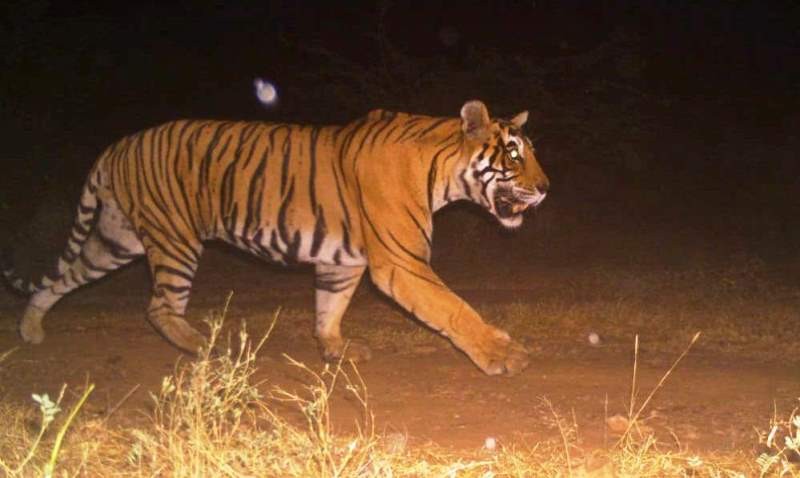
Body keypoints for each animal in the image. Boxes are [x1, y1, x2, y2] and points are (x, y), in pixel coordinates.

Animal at [2, 100, 549, 376]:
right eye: (514, 154)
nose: (545, 188)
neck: (441, 172)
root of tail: (118, 145)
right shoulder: (402, 263)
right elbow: (455, 309)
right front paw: (503, 356)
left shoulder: (342, 262)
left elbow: (329, 308)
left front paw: (334, 350)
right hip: (175, 240)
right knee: (158, 308)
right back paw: (207, 348)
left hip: (119, 240)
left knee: (61, 278)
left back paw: (31, 328)